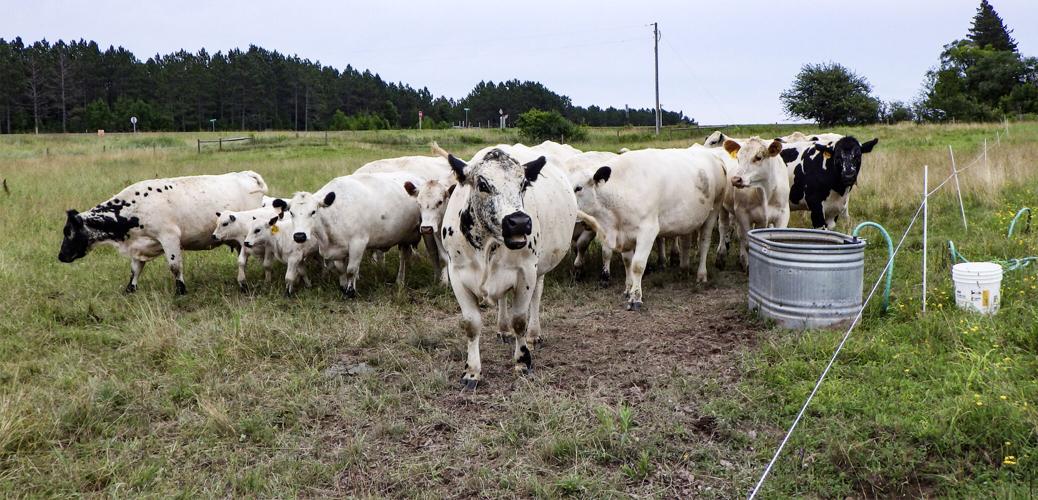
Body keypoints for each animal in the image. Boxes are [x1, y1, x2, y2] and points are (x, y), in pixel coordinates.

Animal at [59, 171, 268, 294]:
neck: (136, 207)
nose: (61, 256)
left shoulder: (169, 237)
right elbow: (135, 269)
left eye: (68, 232)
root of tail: (246, 174)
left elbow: (175, 266)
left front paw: (181, 290)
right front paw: (130, 289)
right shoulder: (139, 245)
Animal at [280, 172, 422, 298]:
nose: (299, 236)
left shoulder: (358, 244)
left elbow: (351, 270)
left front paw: (350, 292)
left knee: (403, 258)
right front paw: (343, 287)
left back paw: (400, 280)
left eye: (313, 212)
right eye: (291, 213)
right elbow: (341, 269)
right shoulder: (337, 249)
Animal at [440, 147, 581, 390]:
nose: (519, 222)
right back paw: (502, 329)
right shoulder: (457, 274)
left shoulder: (526, 273)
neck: (487, 245)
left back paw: (534, 334)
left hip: (539, 269)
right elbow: (471, 324)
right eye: (483, 184)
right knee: (503, 300)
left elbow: (519, 320)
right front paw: (472, 372)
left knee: (536, 297)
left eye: (523, 184)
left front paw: (522, 361)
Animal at [570, 147, 727, 311]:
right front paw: (628, 289)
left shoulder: (647, 231)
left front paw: (636, 298)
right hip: (688, 220)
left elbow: (637, 265)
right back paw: (683, 270)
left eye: (578, 188)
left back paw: (701, 275)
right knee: (685, 243)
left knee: (704, 244)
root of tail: (711, 154)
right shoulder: (625, 233)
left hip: (714, 210)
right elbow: (628, 262)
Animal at [712, 138, 791, 268]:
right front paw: (747, 264)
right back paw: (721, 256)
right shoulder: (743, 213)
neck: (764, 190)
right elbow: (747, 243)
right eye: (738, 158)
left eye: (758, 157)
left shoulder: (782, 214)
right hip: (723, 207)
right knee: (724, 228)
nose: (735, 180)